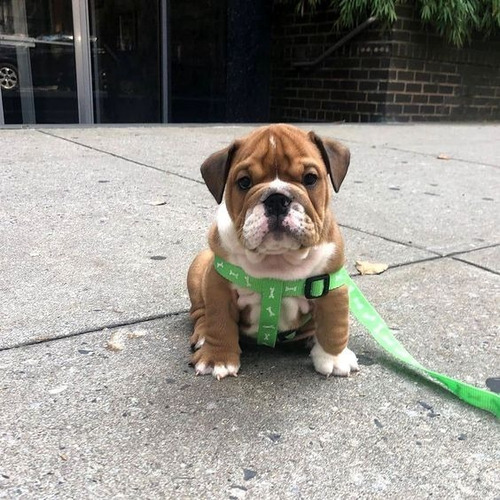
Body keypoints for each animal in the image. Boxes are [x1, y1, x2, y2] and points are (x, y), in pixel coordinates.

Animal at [186, 124, 358, 378]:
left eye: (310, 178)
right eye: (244, 182)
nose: (277, 199)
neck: (278, 259)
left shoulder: (331, 284)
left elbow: (334, 324)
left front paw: (334, 358)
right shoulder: (218, 285)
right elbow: (219, 322)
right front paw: (218, 358)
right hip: (198, 270)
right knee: (200, 314)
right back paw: (202, 335)